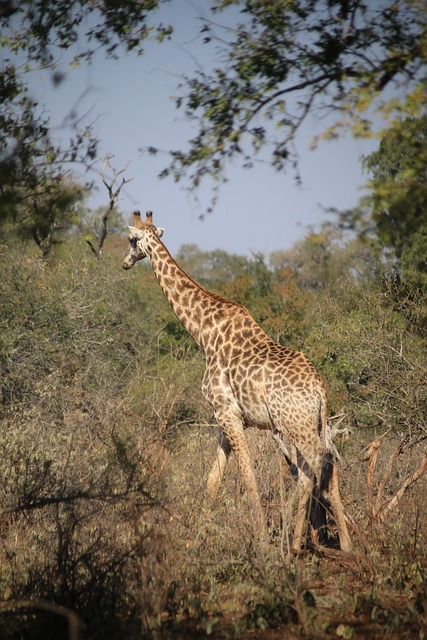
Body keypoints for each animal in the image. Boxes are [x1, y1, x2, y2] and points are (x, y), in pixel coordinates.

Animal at [122, 209, 352, 552]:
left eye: (130, 239)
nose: (125, 262)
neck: (203, 332)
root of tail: (321, 390)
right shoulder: (225, 416)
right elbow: (213, 480)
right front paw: (196, 538)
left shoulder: (226, 412)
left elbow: (247, 477)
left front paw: (261, 541)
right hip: (315, 423)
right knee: (323, 466)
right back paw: (333, 544)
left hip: (295, 425)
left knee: (315, 466)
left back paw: (302, 542)